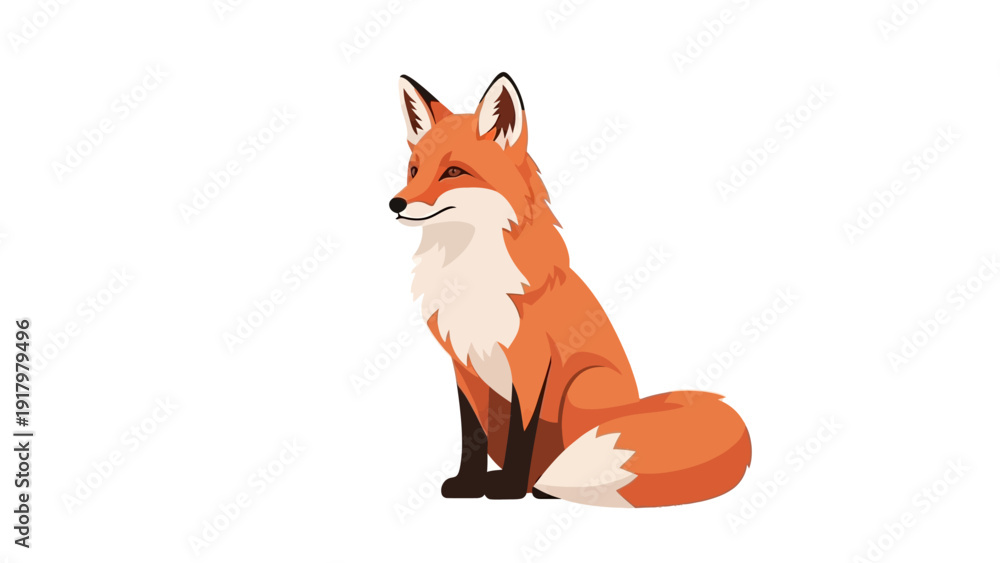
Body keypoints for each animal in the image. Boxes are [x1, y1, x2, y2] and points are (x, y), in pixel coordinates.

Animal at [390, 72, 751, 507]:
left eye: (454, 173)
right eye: (413, 171)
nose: (395, 203)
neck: (469, 274)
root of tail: (638, 407)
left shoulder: (529, 363)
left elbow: (521, 434)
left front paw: (509, 489)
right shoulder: (466, 366)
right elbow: (471, 436)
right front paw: (468, 485)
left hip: (583, 387)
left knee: (560, 460)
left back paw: (541, 488)